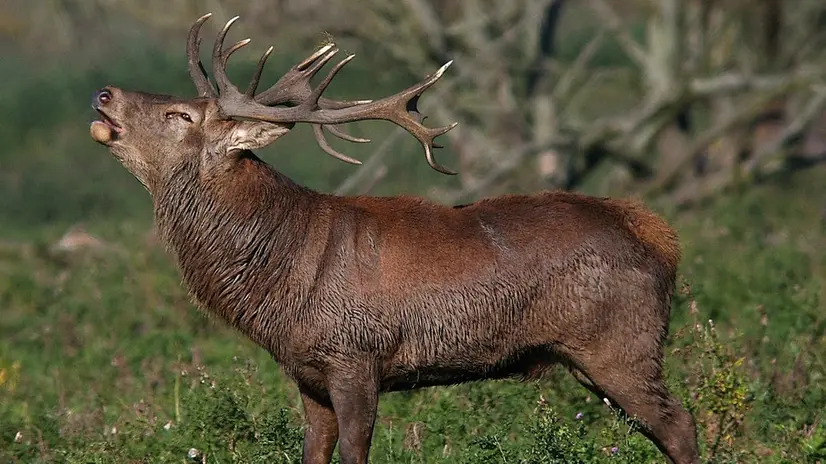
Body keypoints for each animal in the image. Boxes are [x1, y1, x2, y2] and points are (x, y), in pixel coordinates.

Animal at [88, 13, 700, 464]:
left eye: (181, 114)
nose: (104, 93)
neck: (280, 279)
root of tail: (660, 234)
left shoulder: (357, 357)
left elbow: (356, 453)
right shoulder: (308, 375)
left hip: (622, 343)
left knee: (682, 424)